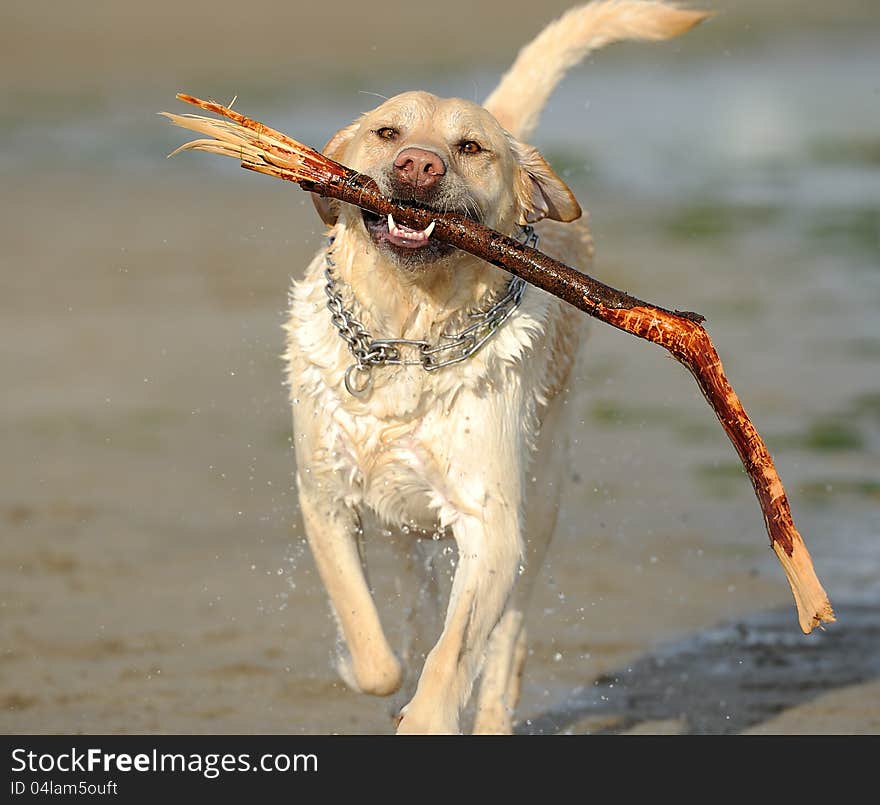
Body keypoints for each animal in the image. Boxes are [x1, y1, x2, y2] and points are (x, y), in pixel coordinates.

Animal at [286, 0, 704, 732]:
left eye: (470, 148)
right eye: (387, 132)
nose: (418, 165)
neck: (407, 336)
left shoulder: (493, 525)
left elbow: (454, 653)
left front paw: (427, 716)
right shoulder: (325, 497)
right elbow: (375, 651)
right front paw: (379, 672)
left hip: (540, 502)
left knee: (506, 642)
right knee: (420, 592)